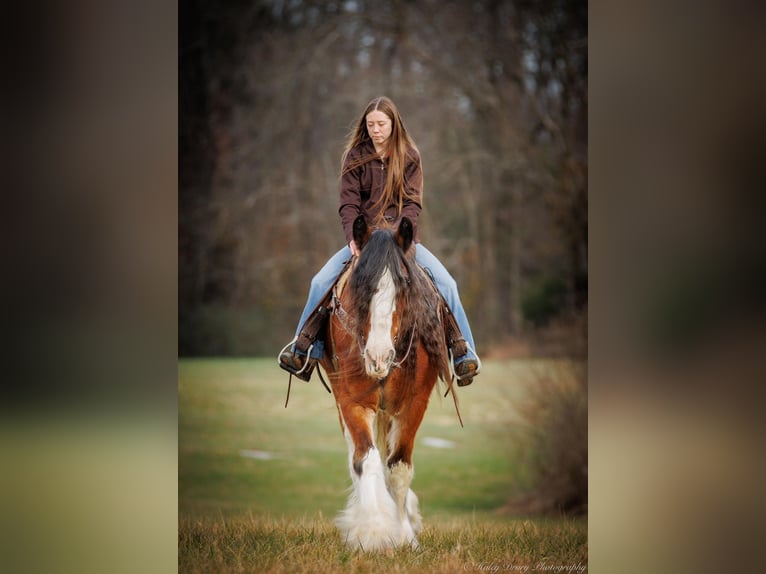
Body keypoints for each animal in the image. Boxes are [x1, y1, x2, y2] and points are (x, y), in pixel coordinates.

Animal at [318, 216, 456, 552]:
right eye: (360, 286)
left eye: (404, 285)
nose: (378, 356)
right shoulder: (352, 401)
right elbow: (365, 460)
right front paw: (374, 533)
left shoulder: (413, 404)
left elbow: (399, 469)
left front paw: (405, 536)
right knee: (356, 455)